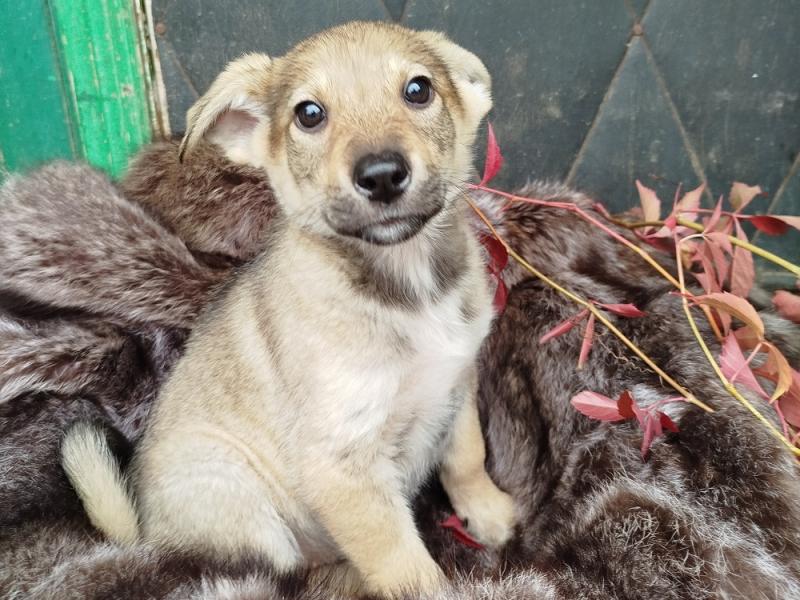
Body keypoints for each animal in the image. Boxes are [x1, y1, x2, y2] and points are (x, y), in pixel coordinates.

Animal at [61, 21, 512, 596]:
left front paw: (490, 512)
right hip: (236, 491)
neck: (409, 285)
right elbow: (402, 562)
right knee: (282, 574)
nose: (382, 174)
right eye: (309, 114)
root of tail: (145, 536)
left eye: (419, 90)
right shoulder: (341, 465)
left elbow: (467, 459)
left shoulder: (457, 384)